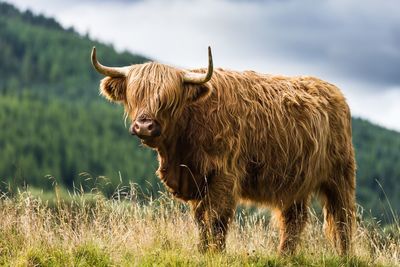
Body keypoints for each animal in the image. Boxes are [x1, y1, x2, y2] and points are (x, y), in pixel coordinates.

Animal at [91, 47, 356, 256]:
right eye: (135, 95)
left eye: (168, 99)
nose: (144, 125)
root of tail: (335, 92)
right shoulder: (196, 180)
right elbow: (201, 220)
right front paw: (202, 251)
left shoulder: (224, 176)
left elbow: (217, 219)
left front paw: (216, 253)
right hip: (295, 182)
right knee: (294, 220)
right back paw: (284, 257)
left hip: (340, 175)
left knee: (342, 218)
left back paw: (344, 257)